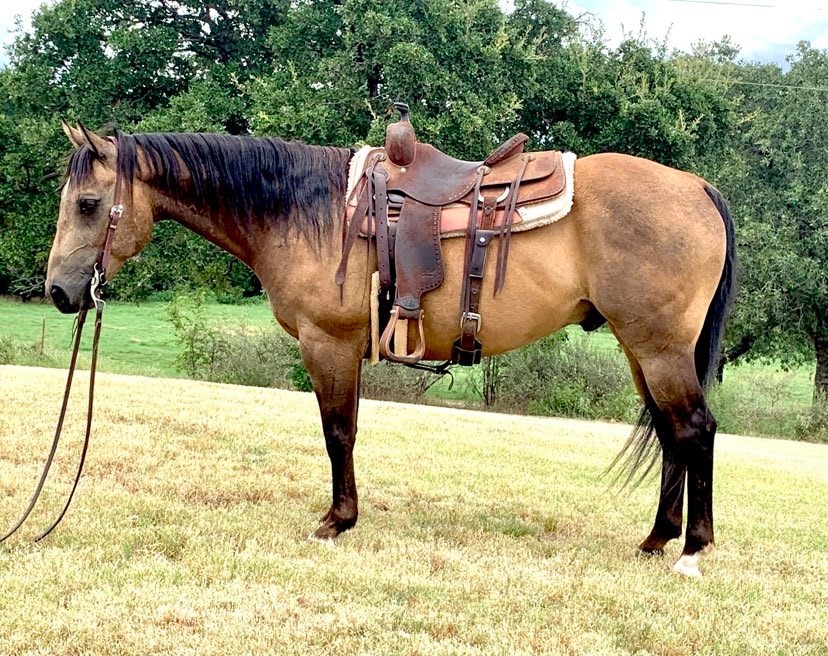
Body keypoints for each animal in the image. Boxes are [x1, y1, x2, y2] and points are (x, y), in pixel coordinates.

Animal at [42, 120, 736, 576]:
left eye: (89, 203)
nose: (58, 291)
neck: (308, 210)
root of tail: (696, 186)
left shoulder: (328, 345)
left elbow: (337, 433)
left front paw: (336, 521)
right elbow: (343, 432)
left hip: (658, 347)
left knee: (694, 429)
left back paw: (692, 550)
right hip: (641, 349)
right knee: (671, 433)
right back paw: (656, 540)